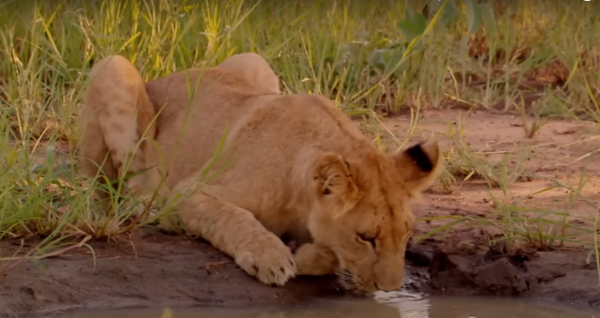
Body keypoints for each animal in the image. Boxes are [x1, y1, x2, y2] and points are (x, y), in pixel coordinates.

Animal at [77, 52, 442, 294]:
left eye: (406, 235)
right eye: (366, 238)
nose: (390, 289)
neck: (299, 200)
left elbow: (330, 257)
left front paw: (306, 256)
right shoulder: (190, 190)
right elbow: (233, 218)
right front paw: (272, 258)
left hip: (253, 60)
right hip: (113, 67)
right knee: (131, 184)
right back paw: (157, 212)